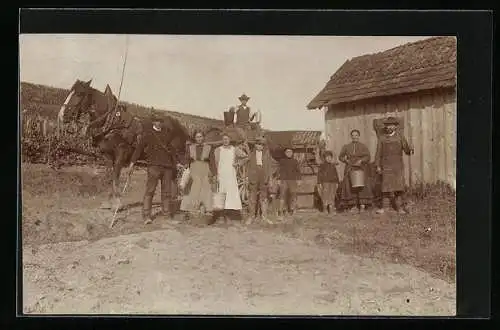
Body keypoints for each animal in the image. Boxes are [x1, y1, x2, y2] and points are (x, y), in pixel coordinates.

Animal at [56, 78, 189, 205]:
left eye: (79, 94)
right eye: (70, 91)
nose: (62, 115)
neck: (113, 123)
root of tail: (179, 125)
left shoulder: (121, 153)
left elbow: (116, 175)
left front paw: (117, 200)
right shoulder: (107, 155)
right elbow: (110, 175)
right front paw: (109, 200)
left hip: (178, 154)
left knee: (181, 169)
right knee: (173, 174)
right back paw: (173, 197)